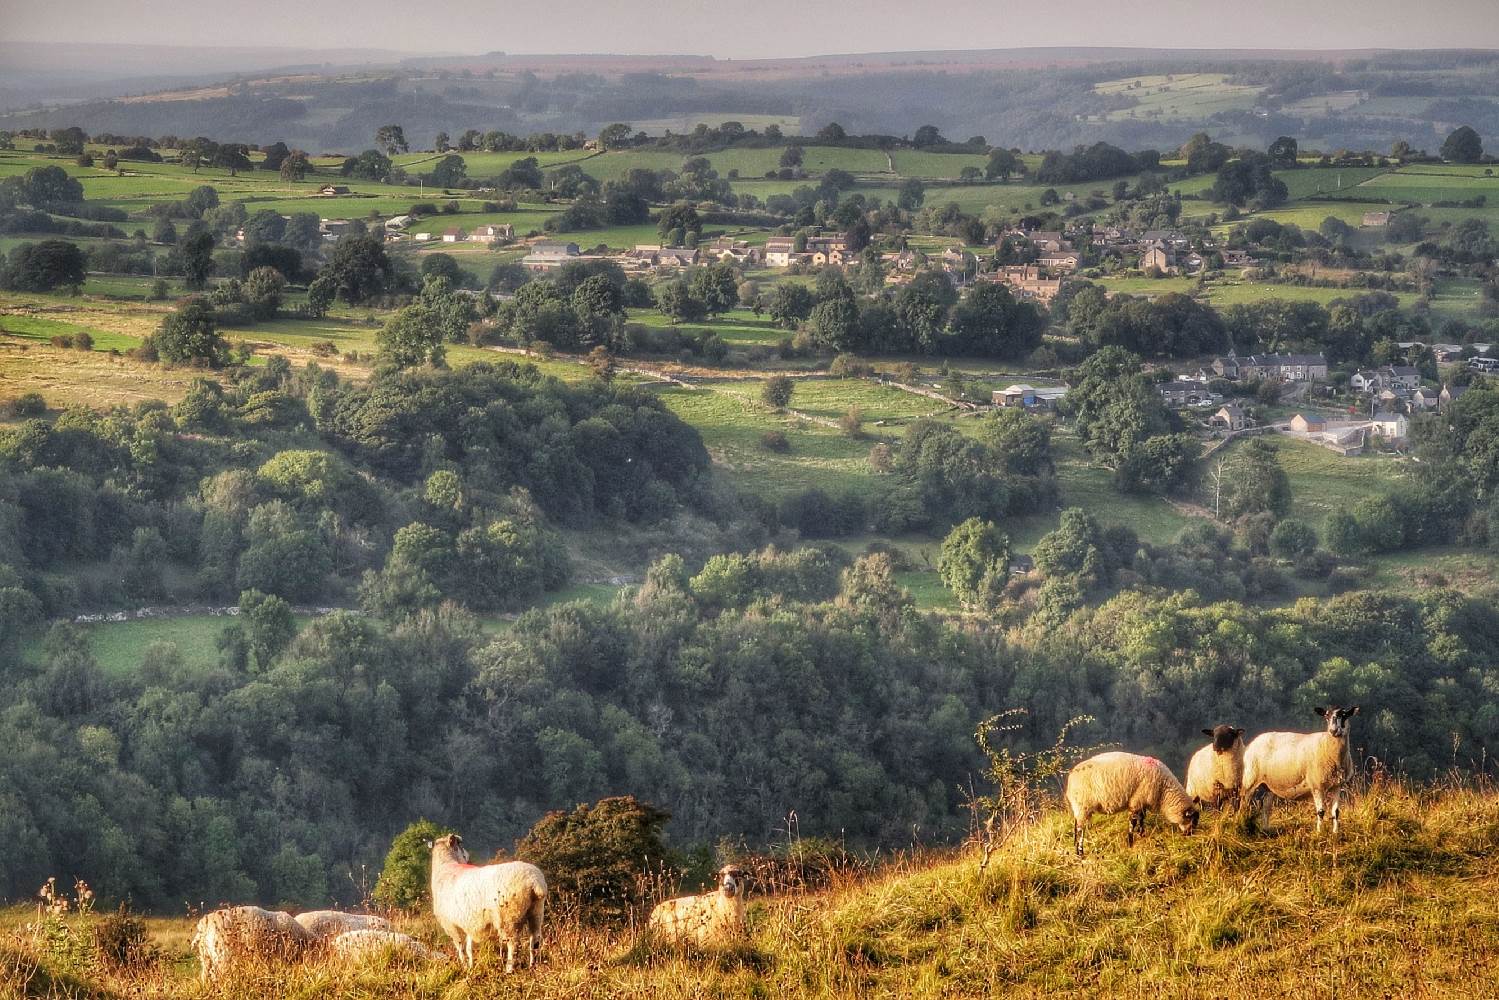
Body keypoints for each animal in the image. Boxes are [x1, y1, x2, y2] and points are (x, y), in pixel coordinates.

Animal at [431, 833, 548, 971]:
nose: (468, 857)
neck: (446, 868)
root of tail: (534, 881)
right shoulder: (469, 922)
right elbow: (469, 948)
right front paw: (471, 966)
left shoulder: (450, 924)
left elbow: (460, 947)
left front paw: (464, 966)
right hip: (536, 911)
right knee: (535, 940)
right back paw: (532, 966)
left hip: (509, 916)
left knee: (513, 943)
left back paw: (509, 969)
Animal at [1061, 749, 1199, 863]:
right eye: (1191, 820)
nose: (1189, 835)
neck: (1164, 791)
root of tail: (1071, 778)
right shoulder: (1136, 801)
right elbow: (1133, 822)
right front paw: (1131, 842)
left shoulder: (1142, 801)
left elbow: (1142, 818)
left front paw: (1142, 834)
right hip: (1082, 806)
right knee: (1080, 830)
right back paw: (1080, 852)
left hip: (1078, 807)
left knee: (1075, 826)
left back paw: (1075, 847)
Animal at [1241, 704, 1361, 839]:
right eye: (1326, 716)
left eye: (1344, 715)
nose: (1333, 730)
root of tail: (1253, 742)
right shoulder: (1316, 785)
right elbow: (1321, 812)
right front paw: (1319, 833)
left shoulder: (1337, 785)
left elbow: (1335, 812)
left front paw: (1335, 833)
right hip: (1250, 778)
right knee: (1243, 802)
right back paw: (1242, 824)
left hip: (1269, 784)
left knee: (1266, 806)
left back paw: (1266, 830)